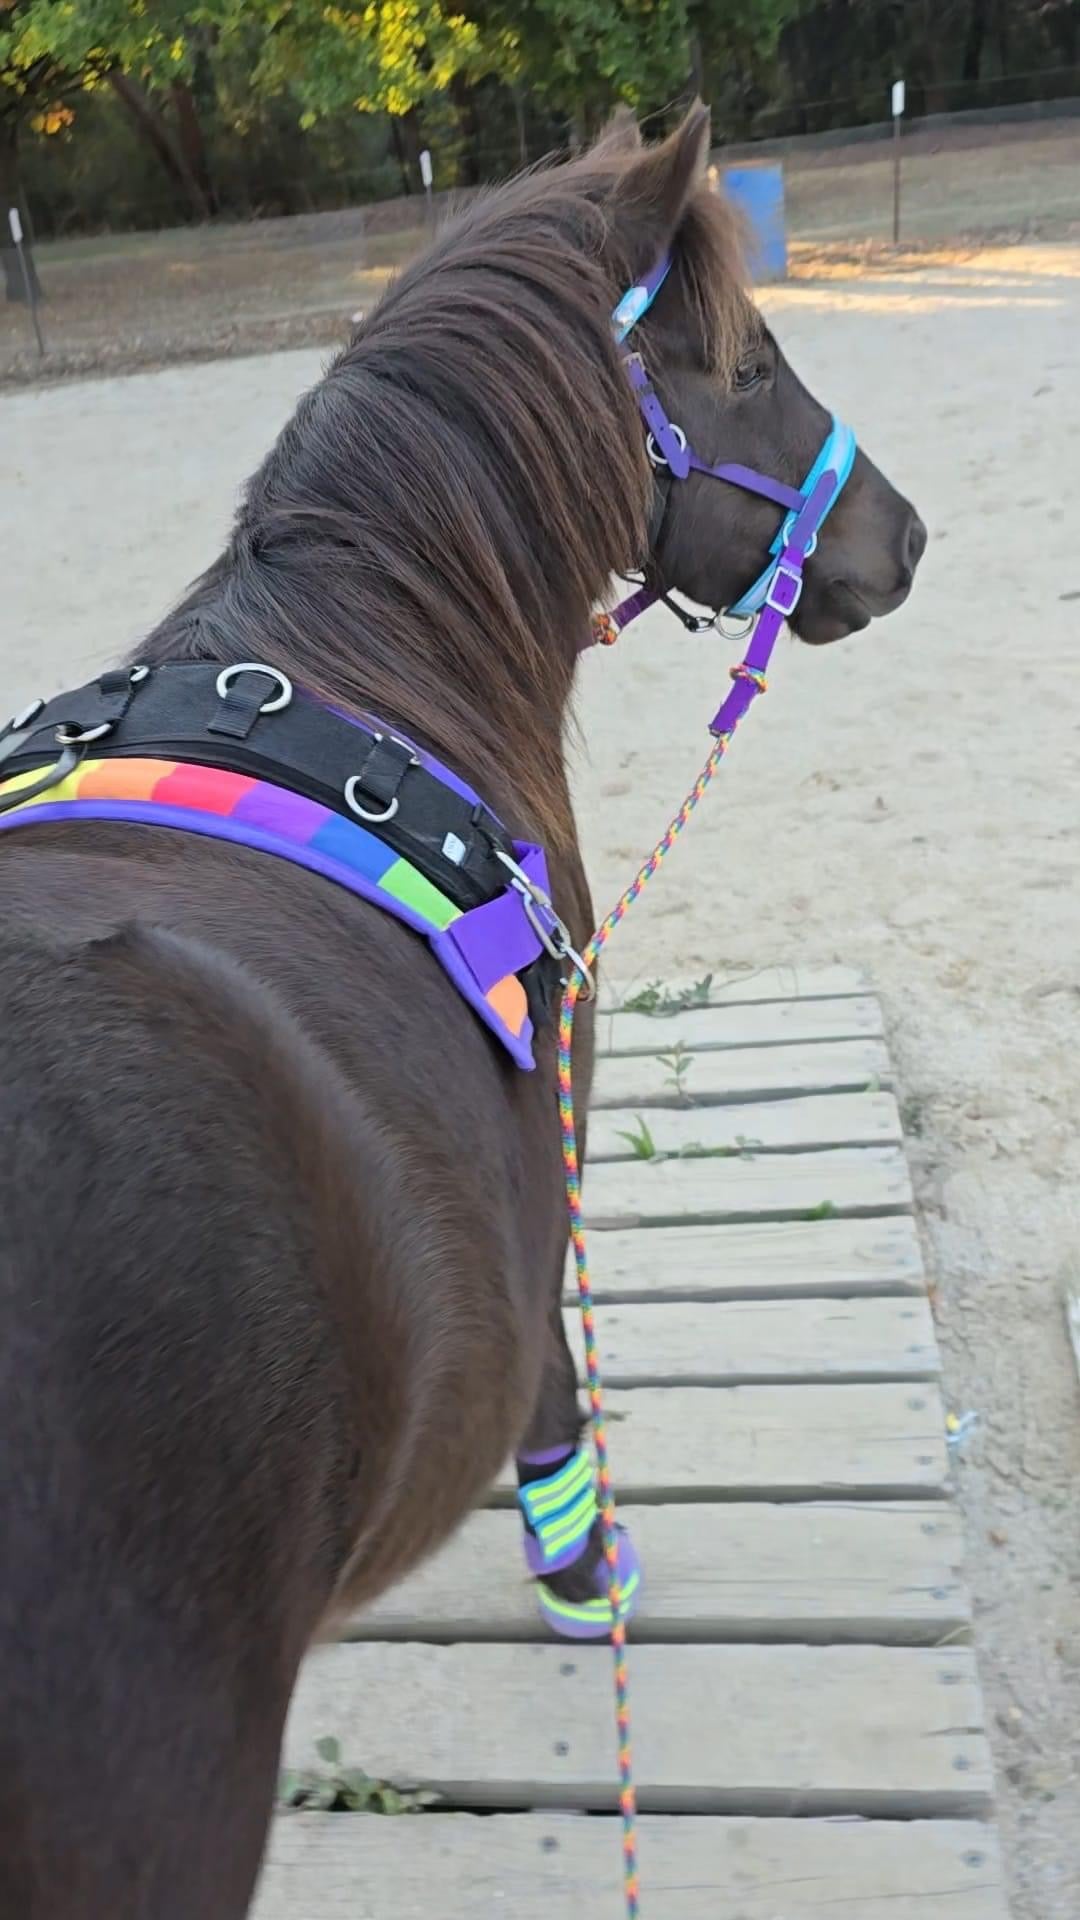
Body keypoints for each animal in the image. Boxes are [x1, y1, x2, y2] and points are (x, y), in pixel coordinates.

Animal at [0, 104, 925, 1918]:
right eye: (752, 359)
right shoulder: (549, 1129)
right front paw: (579, 1561)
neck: (370, 662)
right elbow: (558, 1368)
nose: (906, 537)